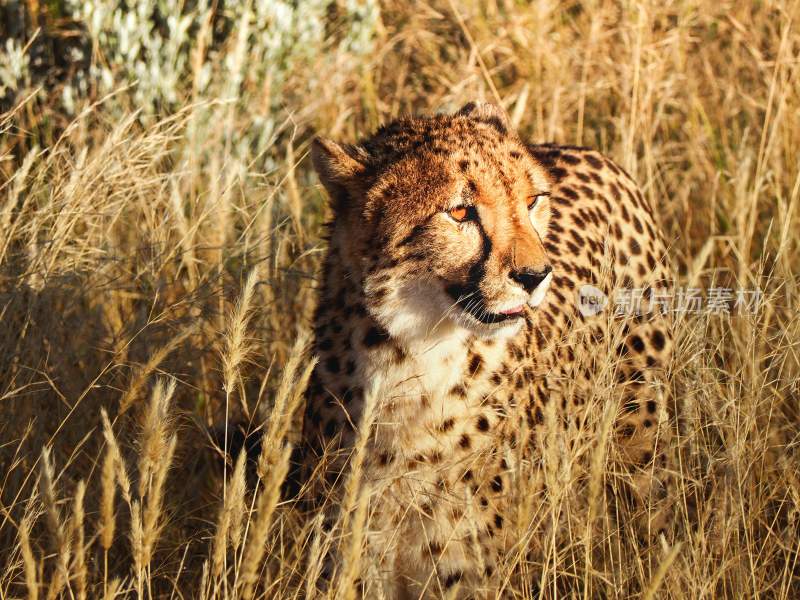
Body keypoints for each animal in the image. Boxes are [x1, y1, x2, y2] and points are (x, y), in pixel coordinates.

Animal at [304, 102, 672, 596]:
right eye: (460, 212)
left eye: (532, 201)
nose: (536, 276)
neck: (410, 361)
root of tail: (588, 150)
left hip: (641, 458)